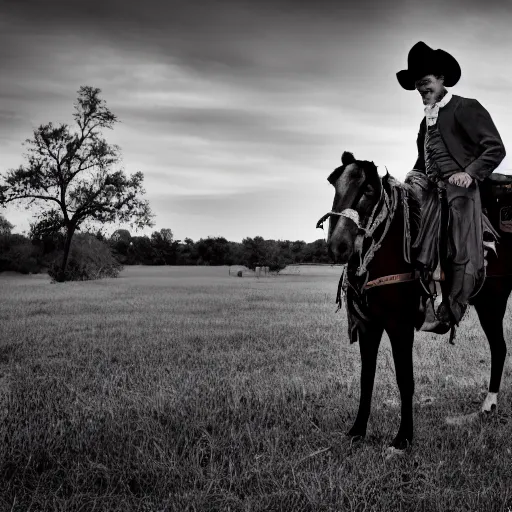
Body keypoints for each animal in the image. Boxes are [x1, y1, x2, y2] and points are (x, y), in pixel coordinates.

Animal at [320, 152, 512, 452]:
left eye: (368, 190)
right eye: (334, 183)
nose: (338, 246)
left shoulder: (399, 326)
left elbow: (404, 379)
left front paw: (403, 438)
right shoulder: (367, 325)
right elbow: (366, 377)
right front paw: (357, 430)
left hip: (491, 305)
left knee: (499, 348)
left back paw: (489, 403)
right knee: (499, 348)